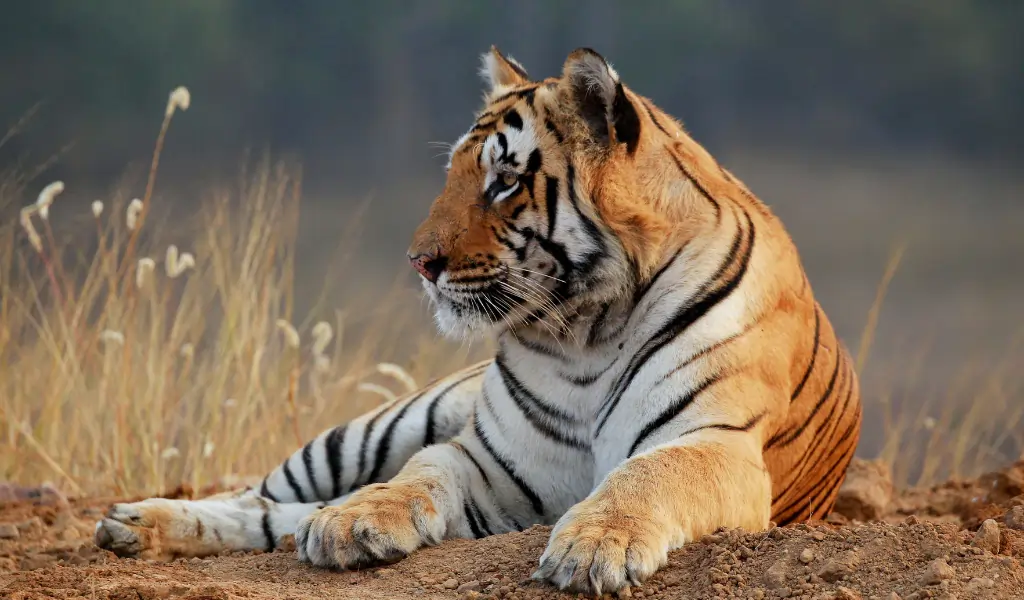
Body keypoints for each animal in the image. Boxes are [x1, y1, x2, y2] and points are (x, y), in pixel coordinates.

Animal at [94, 46, 862, 596]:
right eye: (455, 173)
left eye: (504, 181)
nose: (417, 262)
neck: (588, 330)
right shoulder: (489, 461)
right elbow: (421, 472)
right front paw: (355, 520)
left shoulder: (714, 442)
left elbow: (645, 477)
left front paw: (594, 546)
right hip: (371, 429)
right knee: (261, 497)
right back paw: (135, 521)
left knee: (275, 516)